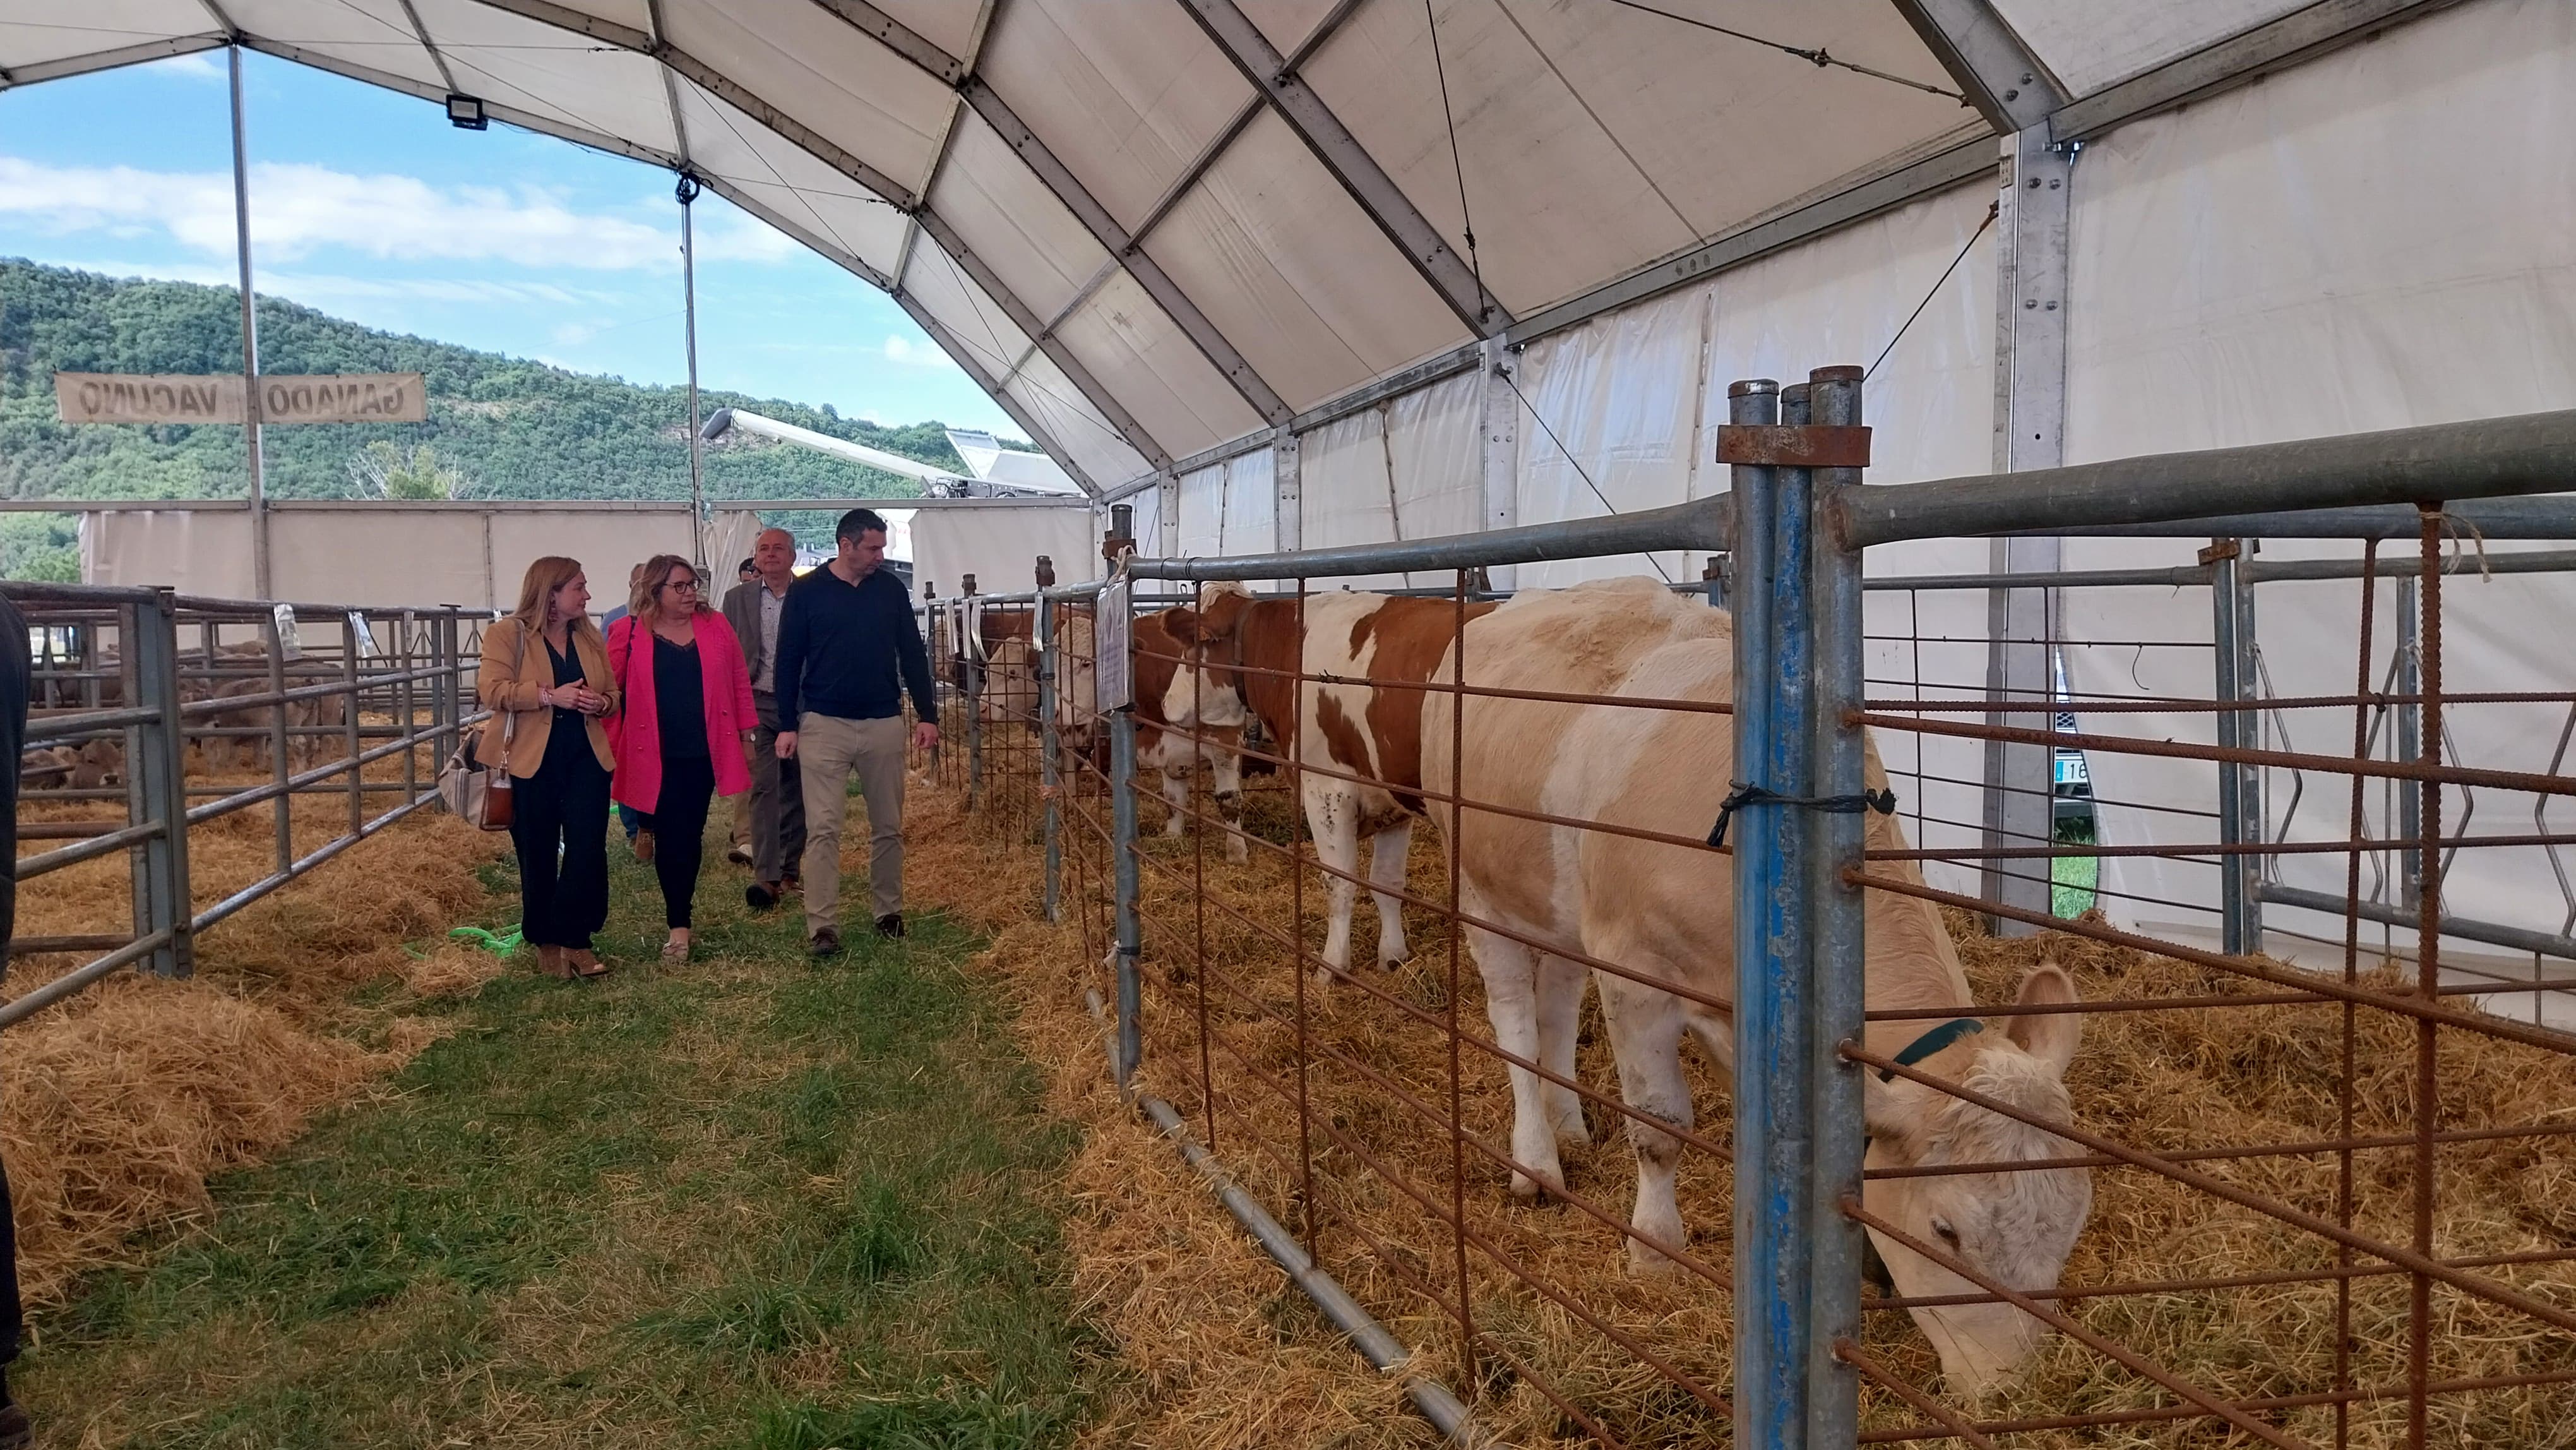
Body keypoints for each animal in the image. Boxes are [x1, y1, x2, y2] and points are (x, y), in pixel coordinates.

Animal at [1411, 579, 2091, 1391]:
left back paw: (1571, 1121)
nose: (2011, 1386)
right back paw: (1537, 1161)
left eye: (2073, 1223)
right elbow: (1660, 1126)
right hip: (1477, 879)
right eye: (1945, 1230)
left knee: (1559, 1000)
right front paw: (1655, 1251)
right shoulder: (1636, 969)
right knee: (1514, 1015)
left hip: (1559, 902)